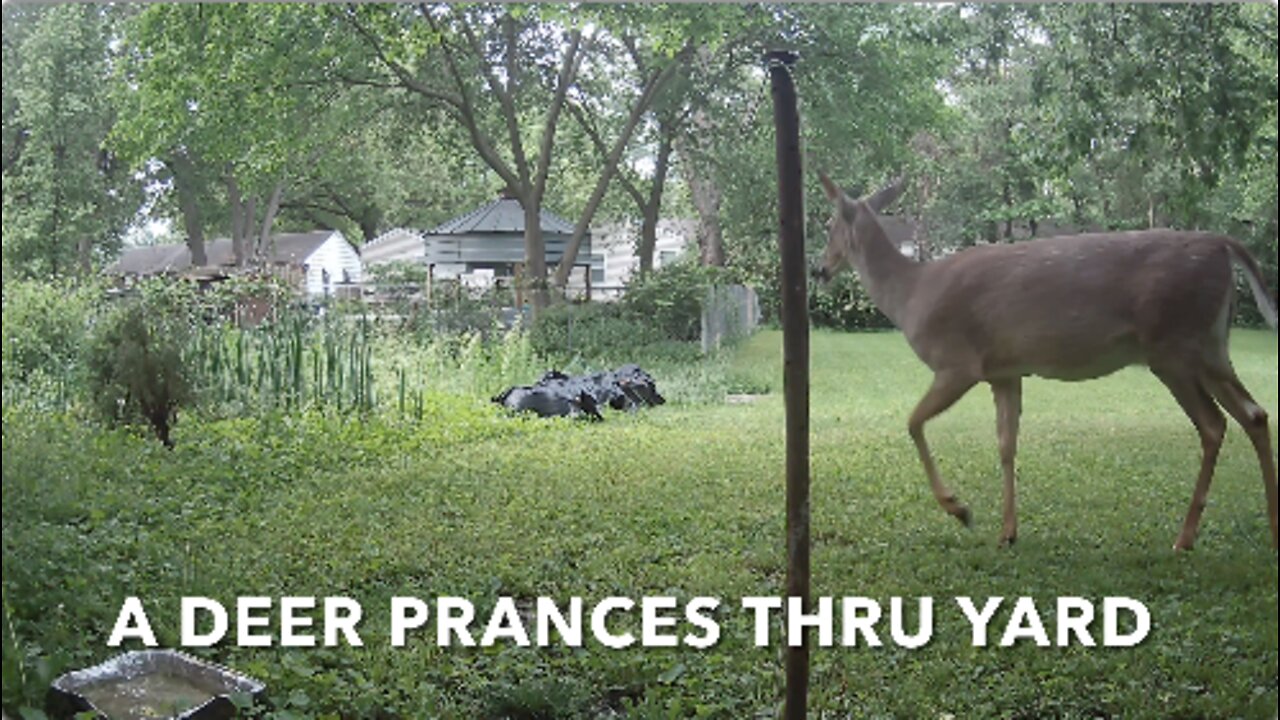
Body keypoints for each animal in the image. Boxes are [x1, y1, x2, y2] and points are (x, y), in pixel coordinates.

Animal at [814, 173, 1278, 551]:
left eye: (829, 226)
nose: (819, 270)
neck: (911, 294)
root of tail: (1222, 244)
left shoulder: (958, 363)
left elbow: (912, 422)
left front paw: (960, 509)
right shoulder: (1005, 372)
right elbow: (1006, 444)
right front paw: (1008, 532)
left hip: (1174, 346)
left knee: (1215, 424)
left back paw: (1184, 538)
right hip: (1210, 345)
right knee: (1253, 414)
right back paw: (1267, 530)